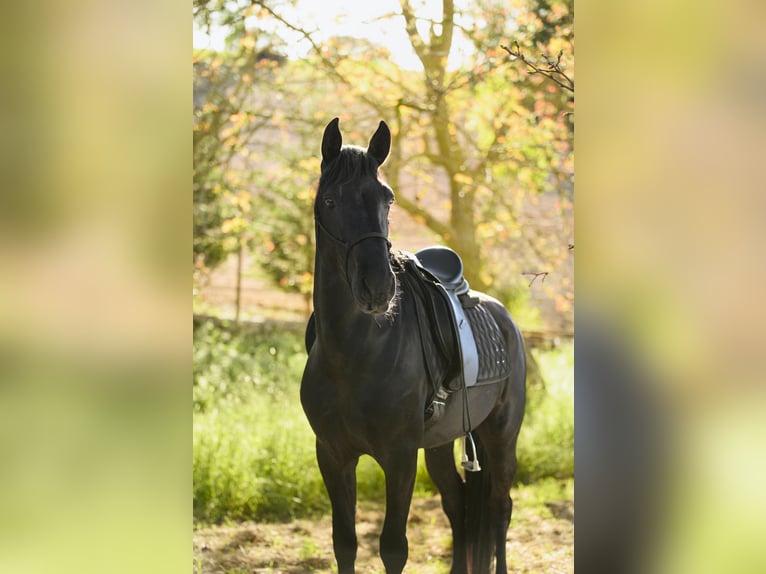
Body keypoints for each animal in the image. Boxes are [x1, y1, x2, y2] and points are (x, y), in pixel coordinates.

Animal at [301, 117, 527, 574]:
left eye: (387, 200)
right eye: (330, 200)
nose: (377, 287)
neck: (352, 355)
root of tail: (505, 317)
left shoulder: (400, 457)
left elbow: (393, 548)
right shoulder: (332, 455)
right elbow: (344, 543)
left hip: (501, 437)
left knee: (500, 508)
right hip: (440, 443)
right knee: (458, 504)